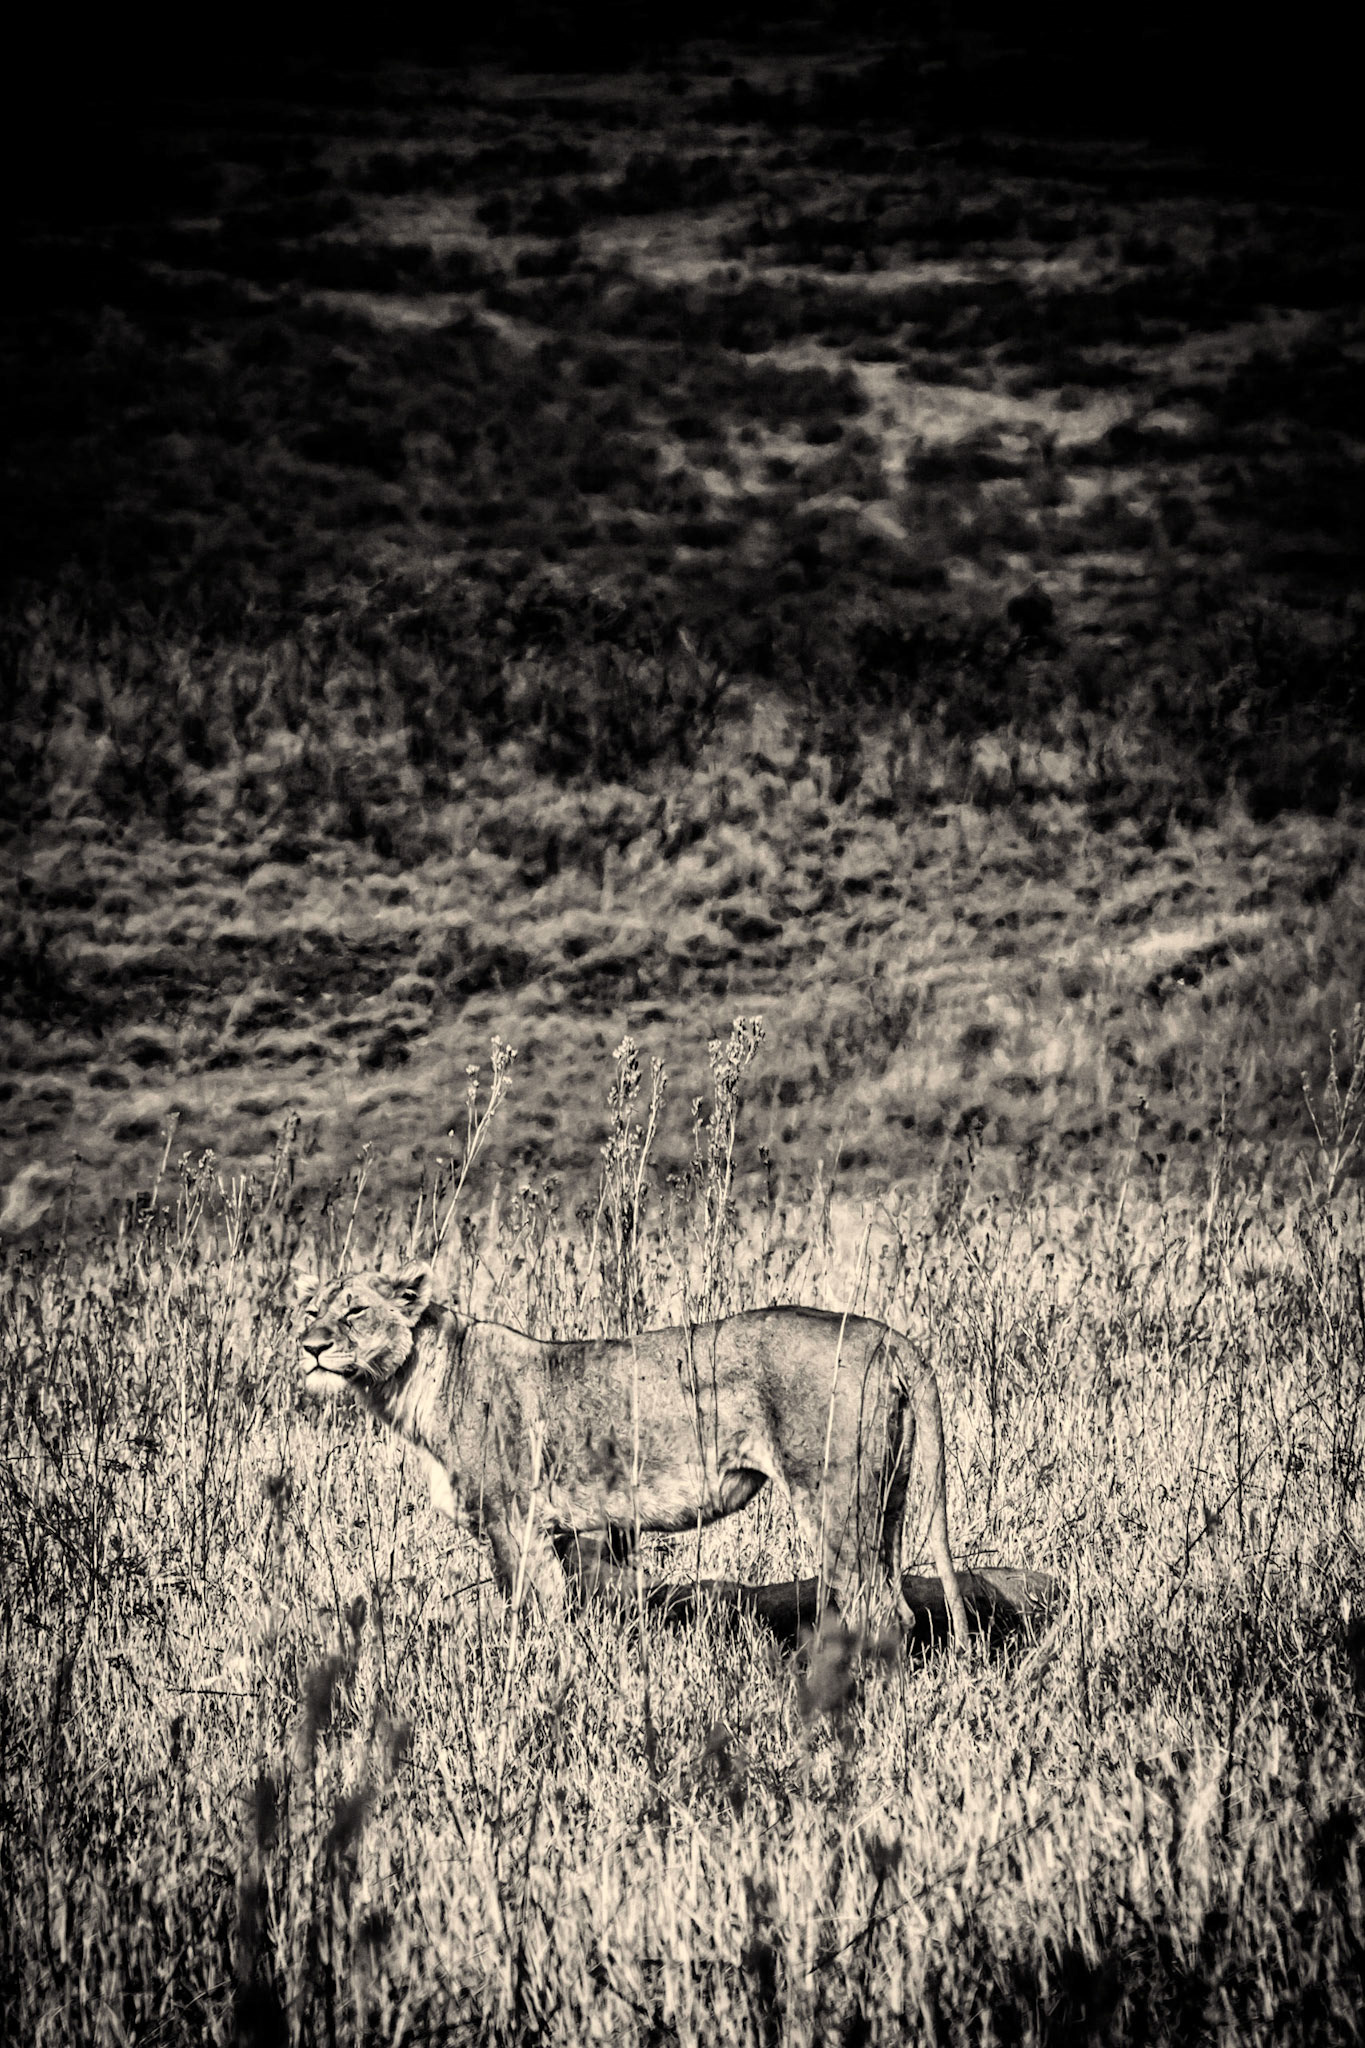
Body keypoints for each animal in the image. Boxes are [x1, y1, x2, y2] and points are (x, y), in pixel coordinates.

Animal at [295, 1261, 969, 1642]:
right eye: (310, 1310)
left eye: (355, 1310)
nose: (310, 1347)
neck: (412, 1382)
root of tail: (883, 1332)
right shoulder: (583, 1532)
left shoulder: (514, 1519)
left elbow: (532, 1614)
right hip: (887, 1499)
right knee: (897, 1606)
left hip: (833, 1499)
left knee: (878, 1610)